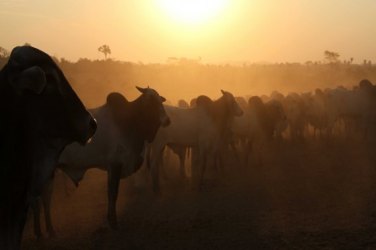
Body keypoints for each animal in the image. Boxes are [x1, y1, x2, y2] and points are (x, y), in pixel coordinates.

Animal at [33, 87, 170, 231]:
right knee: (37, 200)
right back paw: (41, 231)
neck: (129, 120)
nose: (167, 120)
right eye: (151, 101)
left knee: (42, 199)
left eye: (160, 100)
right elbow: (113, 193)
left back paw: (47, 230)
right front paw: (113, 222)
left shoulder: (111, 167)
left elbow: (110, 193)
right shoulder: (115, 164)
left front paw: (110, 219)